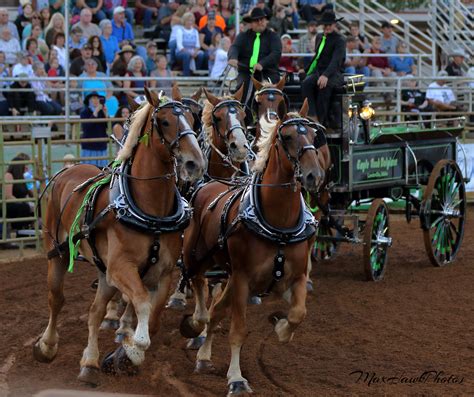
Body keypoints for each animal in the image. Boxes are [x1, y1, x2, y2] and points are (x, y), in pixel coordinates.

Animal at [32, 86, 205, 384]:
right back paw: (47, 346)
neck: (151, 213)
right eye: (165, 122)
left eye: (194, 121)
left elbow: (153, 318)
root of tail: (68, 169)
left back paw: (89, 362)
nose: (195, 163)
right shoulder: (122, 267)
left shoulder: (162, 272)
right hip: (58, 253)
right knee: (56, 299)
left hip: (104, 271)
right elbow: (142, 304)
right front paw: (134, 349)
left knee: (95, 312)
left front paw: (123, 355)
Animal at [180, 99, 332, 392]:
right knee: (198, 286)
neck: (279, 224)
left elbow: (298, 313)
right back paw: (193, 325)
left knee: (215, 311)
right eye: (287, 137)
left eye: (313, 135)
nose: (314, 175)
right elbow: (238, 330)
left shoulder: (295, 277)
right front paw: (237, 378)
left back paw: (204, 356)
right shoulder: (242, 279)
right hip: (197, 257)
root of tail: (209, 185)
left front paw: (280, 326)